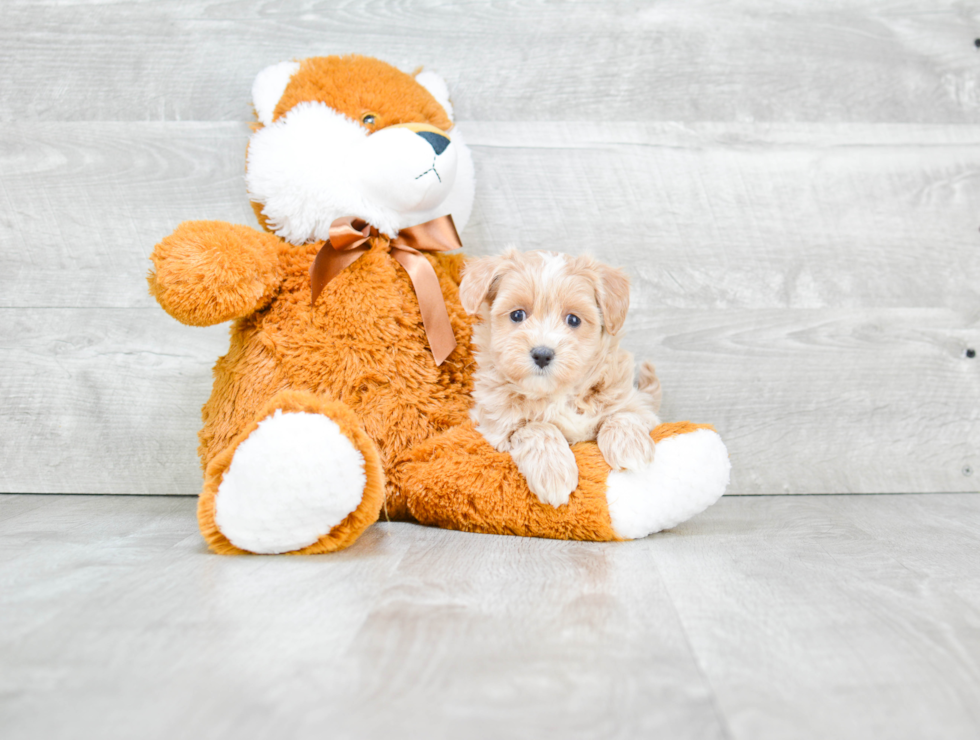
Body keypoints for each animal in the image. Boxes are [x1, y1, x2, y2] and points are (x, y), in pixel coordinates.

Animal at [462, 251, 664, 506]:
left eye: (574, 320)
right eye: (517, 315)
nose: (542, 354)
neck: (558, 393)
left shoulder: (637, 406)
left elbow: (622, 414)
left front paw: (630, 446)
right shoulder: (497, 426)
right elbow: (537, 427)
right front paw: (552, 472)